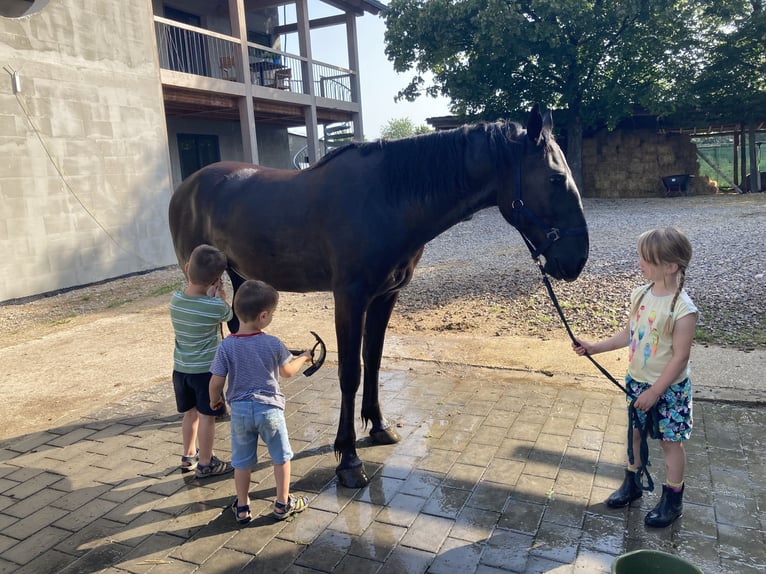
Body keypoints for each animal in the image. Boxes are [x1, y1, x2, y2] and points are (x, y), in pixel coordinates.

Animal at [168, 105, 589, 488]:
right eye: (555, 178)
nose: (577, 259)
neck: (387, 199)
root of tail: (187, 185)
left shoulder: (385, 297)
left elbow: (372, 359)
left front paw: (379, 426)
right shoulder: (349, 298)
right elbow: (349, 371)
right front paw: (348, 457)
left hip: (239, 275)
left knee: (234, 327)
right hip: (200, 277)